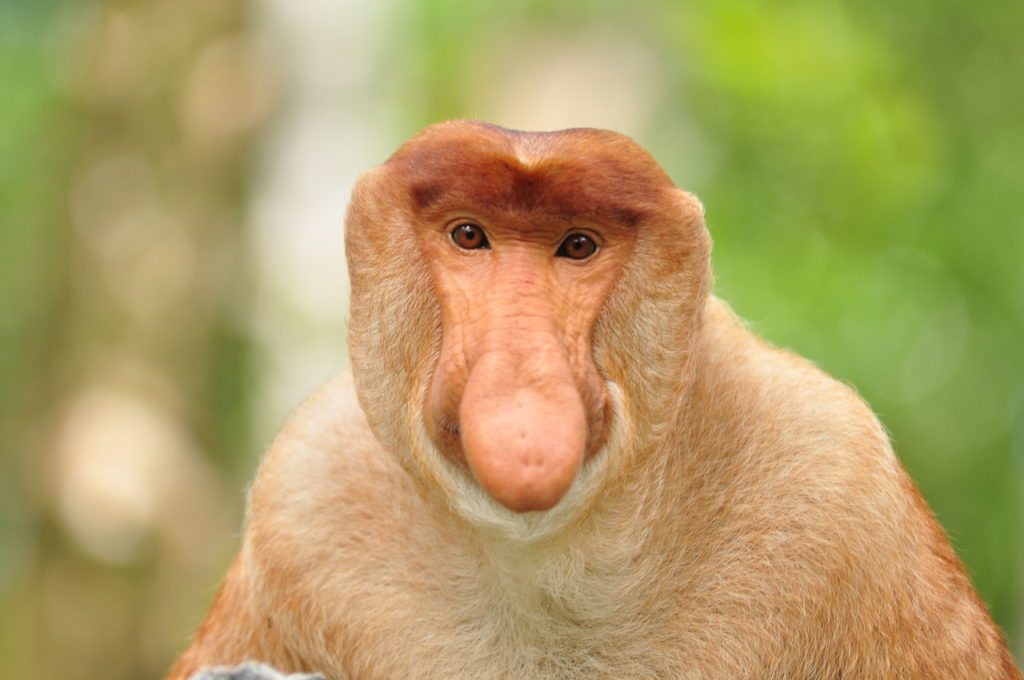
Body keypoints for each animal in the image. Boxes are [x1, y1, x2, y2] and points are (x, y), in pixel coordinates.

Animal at [166, 120, 1021, 679]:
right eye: (469, 236)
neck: (549, 563)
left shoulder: (837, 483)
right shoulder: (303, 503)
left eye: (578, 245)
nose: (522, 386)